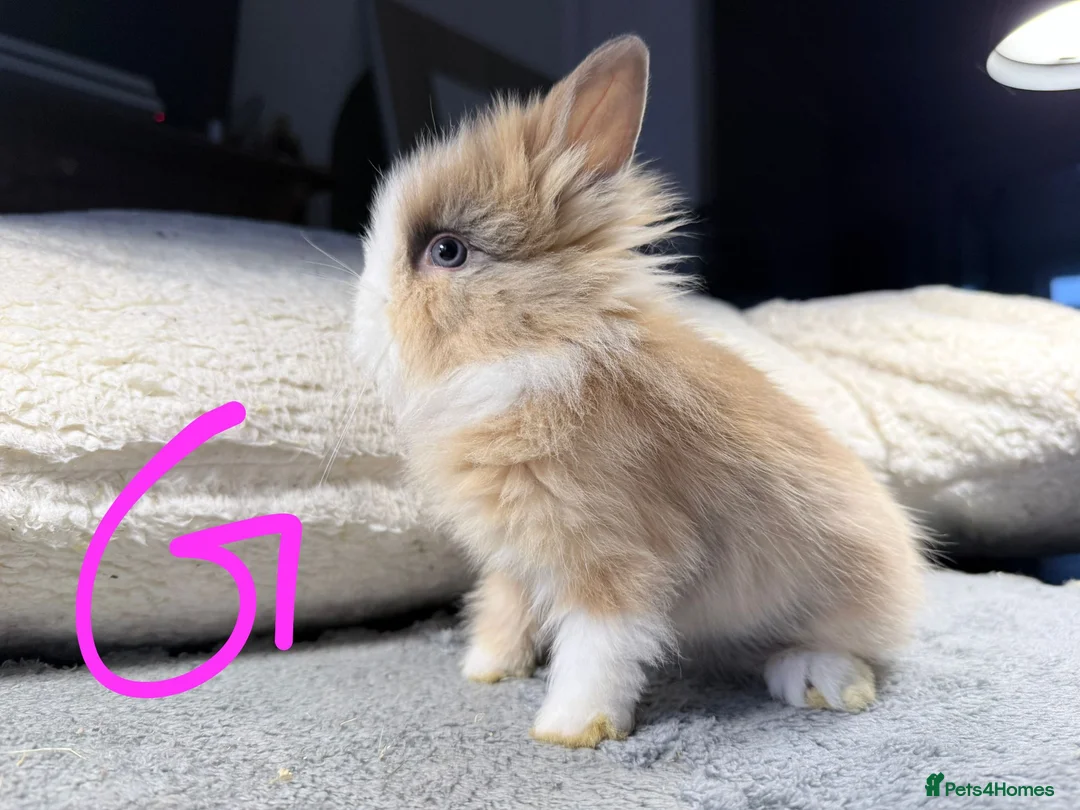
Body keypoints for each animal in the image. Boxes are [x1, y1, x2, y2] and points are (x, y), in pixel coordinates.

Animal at [351, 34, 926, 749]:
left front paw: (568, 730)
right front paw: (486, 670)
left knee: (851, 646)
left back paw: (820, 682)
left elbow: (599, 649)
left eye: (447, 251)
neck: (537, 352)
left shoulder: (617, 555)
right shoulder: (517, 559)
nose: (363, 320)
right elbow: (506, 609)